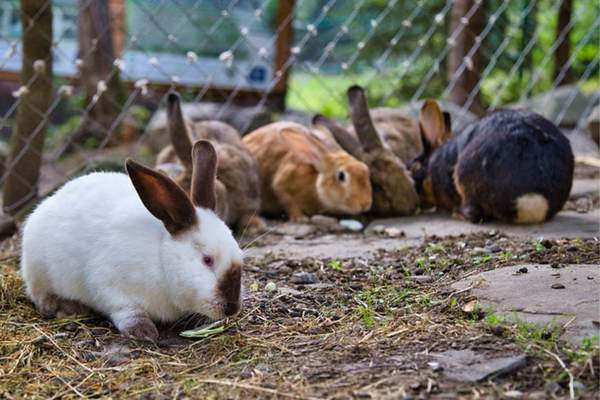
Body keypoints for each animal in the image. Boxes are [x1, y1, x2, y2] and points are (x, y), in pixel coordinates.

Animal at [21, 140, 241, 340]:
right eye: (207, 260)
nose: (232, 308)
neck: (161, 259)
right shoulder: (109, 286)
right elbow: (128, 311)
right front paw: (143, 332)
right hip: (38, 269)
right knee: (40, 296)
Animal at [241, 122, 372, 222]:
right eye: (341, 176)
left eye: (365, 168)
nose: (365, 204)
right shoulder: (282, 181)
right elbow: (287, 199)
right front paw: (300, 218)